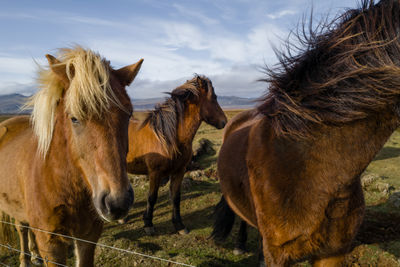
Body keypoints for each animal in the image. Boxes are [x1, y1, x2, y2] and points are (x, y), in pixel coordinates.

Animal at [0, 47, 143, 266]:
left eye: (128, 115)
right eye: (74, 118)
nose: (117, 202)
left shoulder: (88, 236)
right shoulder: (51, 243)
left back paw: (33, 255)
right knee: (22, 228)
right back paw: (25, 259)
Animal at [125, 75, 227, 234]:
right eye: (214, 97)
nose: (224, 121)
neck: (168, 138)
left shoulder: (179, 171)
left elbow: (175, 197)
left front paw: (179, 225)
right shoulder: (155, 173)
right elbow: (152, 197)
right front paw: (148, 224)